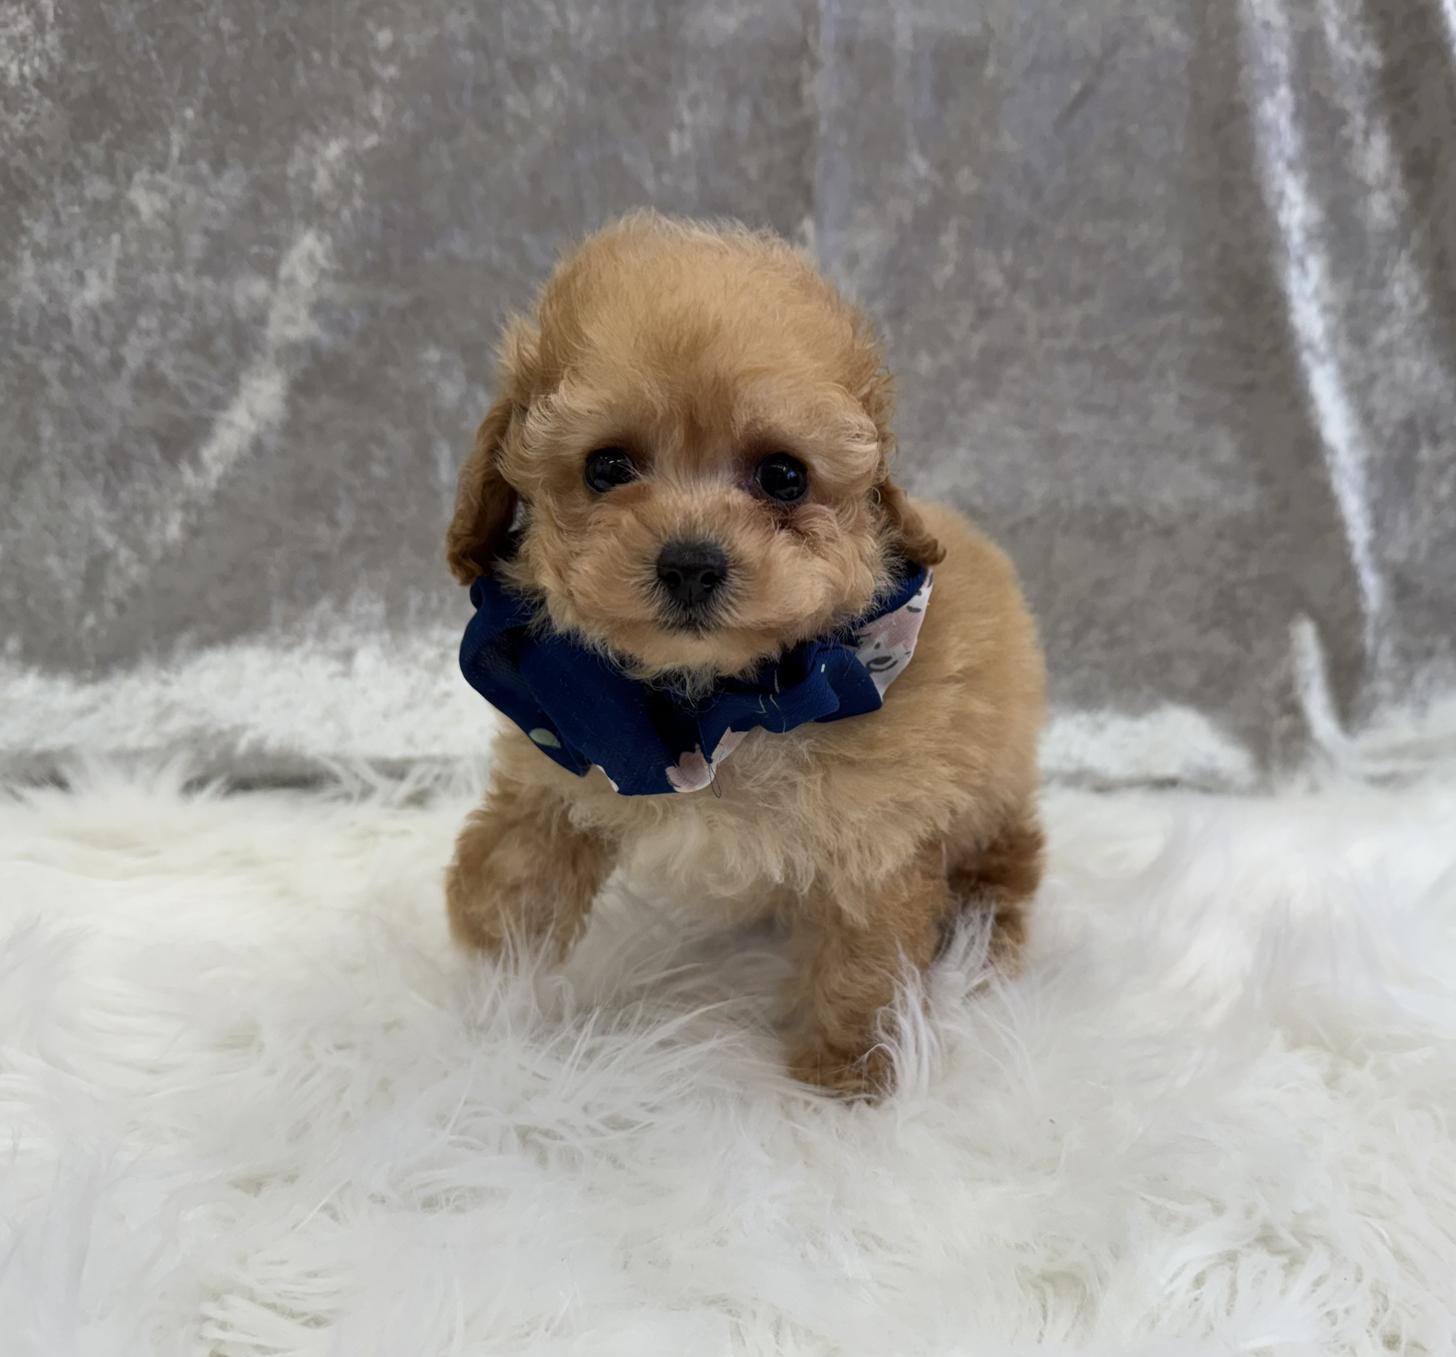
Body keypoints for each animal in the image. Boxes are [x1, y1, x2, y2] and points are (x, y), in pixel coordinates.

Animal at [444, 213, 1045, 1097]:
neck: (711, 705)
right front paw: (489, 961)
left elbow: (864, 960)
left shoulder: (875, 837)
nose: (692, 563)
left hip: (993, 799)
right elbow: (521, 857)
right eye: (607, 466)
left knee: (1006, 862)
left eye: (784, 477)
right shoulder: (565, 743)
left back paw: (981, 944)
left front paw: (848, 1075)